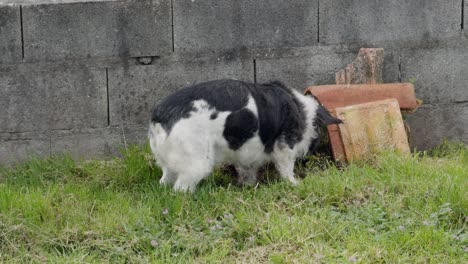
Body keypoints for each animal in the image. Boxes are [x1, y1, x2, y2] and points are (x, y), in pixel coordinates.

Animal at [149, 78, 340, 192]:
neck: (302, 111)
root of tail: (159, 116)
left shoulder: (247, 152)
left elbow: (247, 170)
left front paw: (247, 185)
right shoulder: (284, 147)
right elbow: (286, 168)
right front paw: (294, 183)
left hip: (169, 165)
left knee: (164, 181)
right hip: (197, 164)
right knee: (180, 189)